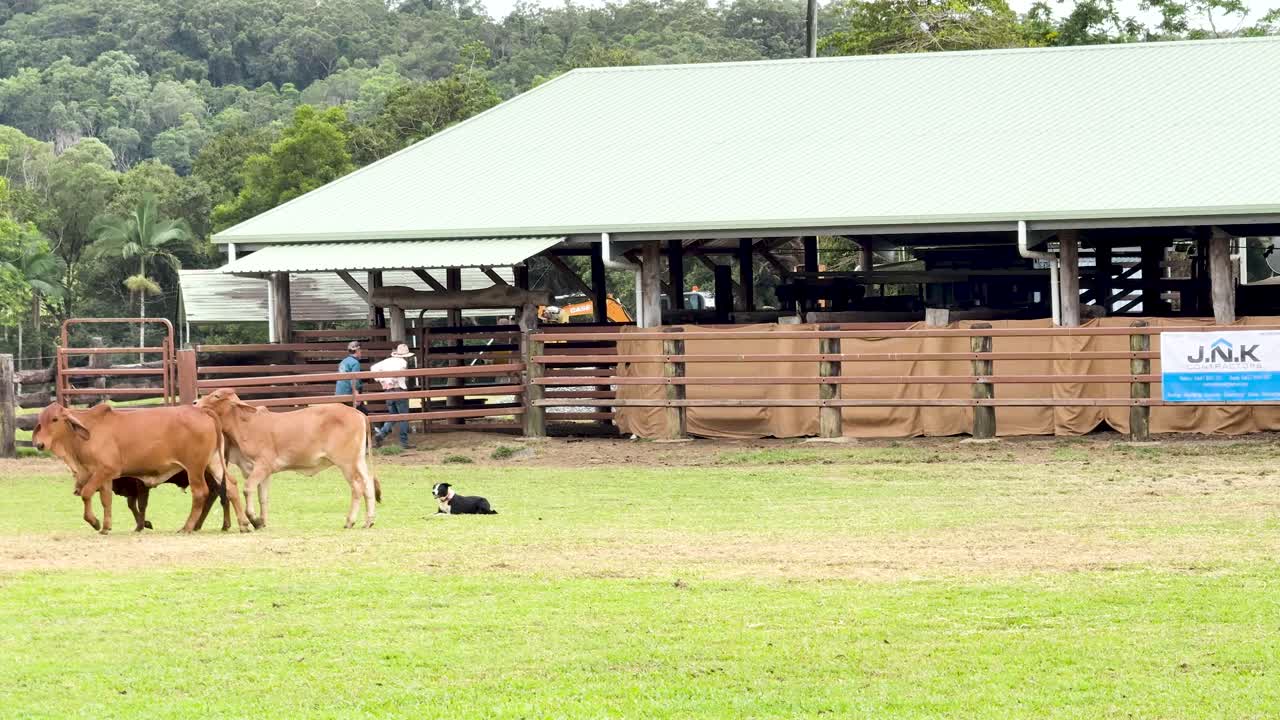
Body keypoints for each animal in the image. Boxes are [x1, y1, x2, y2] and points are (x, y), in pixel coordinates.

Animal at [32, 402, 253, 534]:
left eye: (55, 419)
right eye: (40, 421)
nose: (39, 444)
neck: (88, 432)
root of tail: (201, 410)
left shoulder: (104, 471)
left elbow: (87, 494)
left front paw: (95, 522)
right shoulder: (105, 477)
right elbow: (106, 500)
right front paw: (106, 526)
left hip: (195, 468)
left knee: (201, 493)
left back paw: (187, 527)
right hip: (214, 463)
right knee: (231, 487)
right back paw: (243, 524)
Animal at [196, 389, 381, 529]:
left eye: (216, 396)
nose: (195, 402)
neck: (245, 424)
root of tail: (358, 413)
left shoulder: (263, 466)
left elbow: (248, 489)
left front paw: (254, 520)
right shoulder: (261, 472)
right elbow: (263, 497)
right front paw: (262, 521)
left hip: (346, 463)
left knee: (357, 487)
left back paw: (350, 521)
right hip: (358, 460)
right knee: (368, 484)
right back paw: (369, 521)